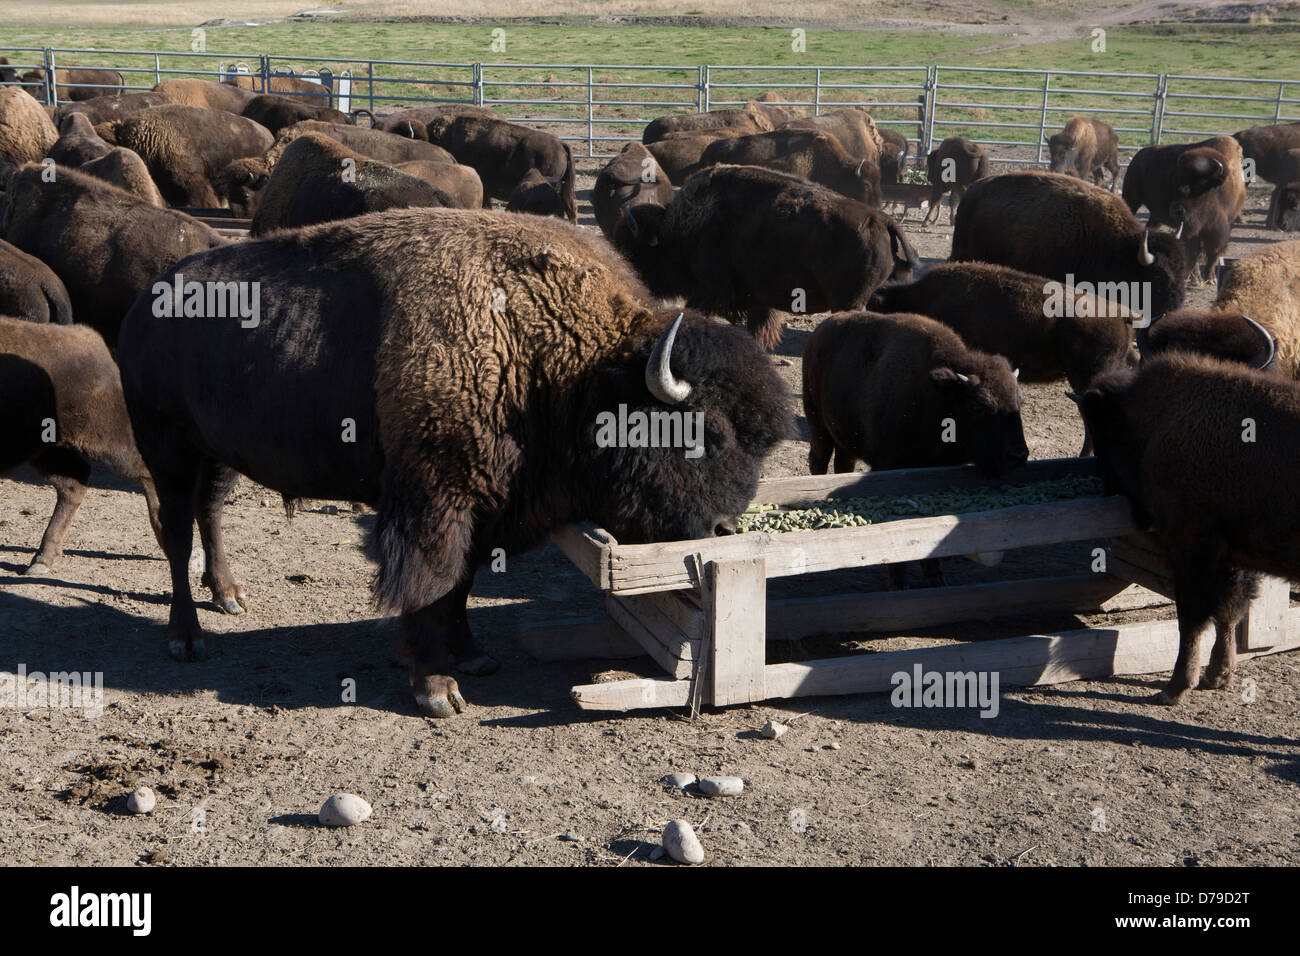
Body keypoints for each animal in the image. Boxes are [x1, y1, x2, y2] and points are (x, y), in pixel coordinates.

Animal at [115, 207, 790, 716]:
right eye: (704, 434)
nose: (725, 528)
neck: (565, 366)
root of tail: (146, 301)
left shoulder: (485, 506)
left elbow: (460, 585)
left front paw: (472, 656)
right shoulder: (436, 501)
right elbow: (432, 583)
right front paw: (437, 690)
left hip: (218, 452)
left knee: (210, 512)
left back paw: (229, 595)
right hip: (167, 446)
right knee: (176, 531)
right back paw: (186, 639)